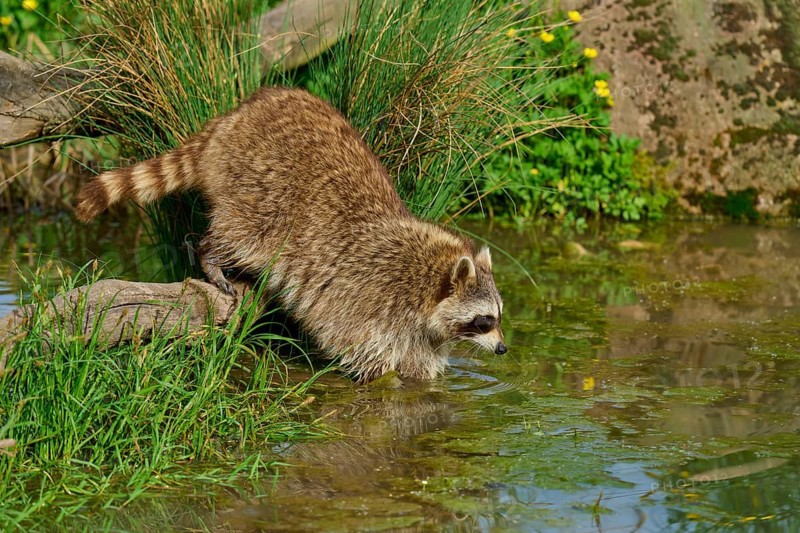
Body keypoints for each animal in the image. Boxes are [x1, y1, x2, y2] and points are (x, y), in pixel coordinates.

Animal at [76, 87, 506, 381]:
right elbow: (362, 351)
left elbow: (420, 367)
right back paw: (210, 255)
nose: (503, 348)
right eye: (484, 320)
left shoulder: (420, 330)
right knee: (241, 235)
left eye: (498, 316)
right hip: (259, 190)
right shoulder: (369, 298)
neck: (426, 279)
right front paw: (382, 379)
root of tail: (230, 120)